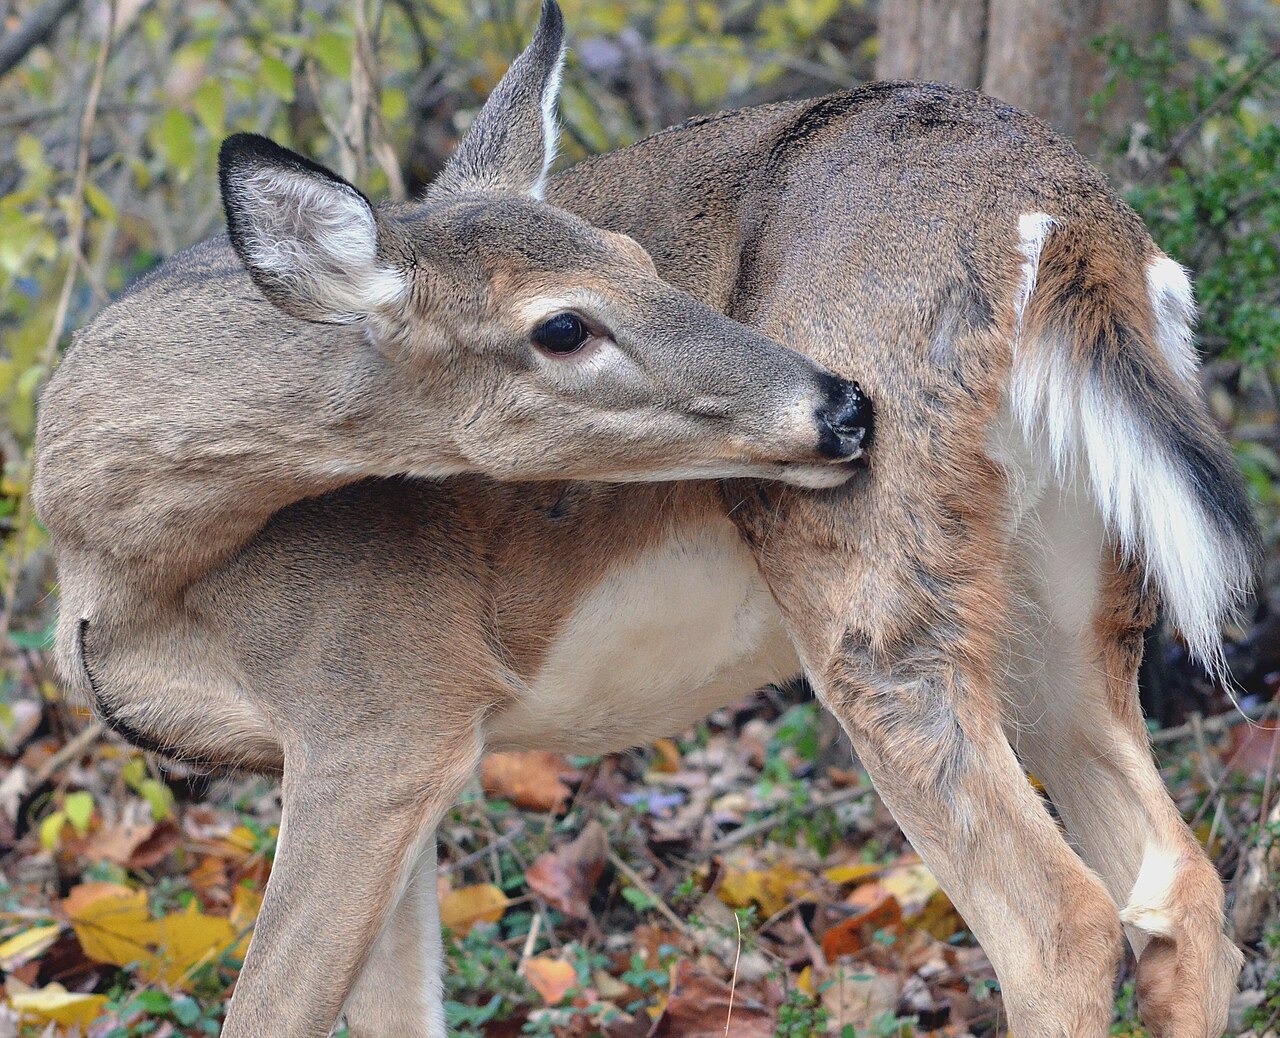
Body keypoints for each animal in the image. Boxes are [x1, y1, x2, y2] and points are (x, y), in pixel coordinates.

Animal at [31, 2, 1258, 1035]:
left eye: (636, 258)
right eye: (564, 323)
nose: (840, 405)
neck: (126, 563)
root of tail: (1061, 217)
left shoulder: (380, 705)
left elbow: (270, 1009)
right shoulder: (391, 745)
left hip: (873, 592)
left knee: (1061, 924)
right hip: (1065, 595)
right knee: (1182, 892)